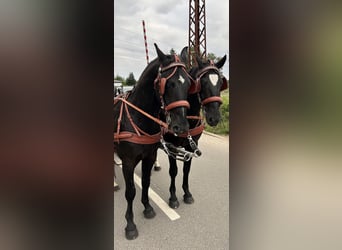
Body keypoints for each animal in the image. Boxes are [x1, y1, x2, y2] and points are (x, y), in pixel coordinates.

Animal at [113, 44, 191, 239]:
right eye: (168, 83)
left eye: (188, 82)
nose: (181, 126)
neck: (138, 117)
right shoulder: (128, 162)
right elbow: (130, 192)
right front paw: (130, 224)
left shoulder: (149, 156)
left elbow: (146, 182)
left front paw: (147, 207)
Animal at [162, 47, 227, 209]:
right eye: (202, 82)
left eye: (220, 82)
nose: (214, 118)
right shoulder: (171, 146)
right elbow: (174, 171)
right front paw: (173, 197)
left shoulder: (192, 145)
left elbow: (187, 169)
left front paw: (187, 193)